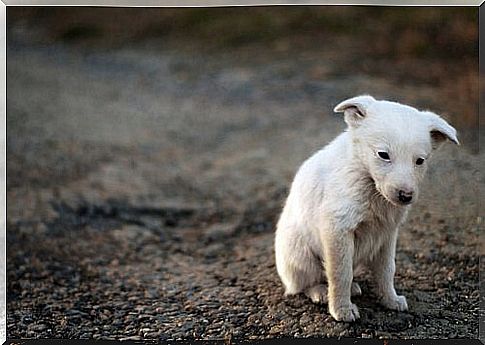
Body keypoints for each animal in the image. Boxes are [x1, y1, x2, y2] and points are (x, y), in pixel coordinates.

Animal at [276, 94, 458, 320]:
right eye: (383, 155)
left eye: (420, 161)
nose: (406, 196)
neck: (368, 183)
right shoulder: (338, 228)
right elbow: (340, 273)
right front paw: (342, 310)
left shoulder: (387, 234)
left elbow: (387, 270)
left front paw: (390, 300)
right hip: (299, 254)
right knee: (304, 283)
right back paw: (320, 292)